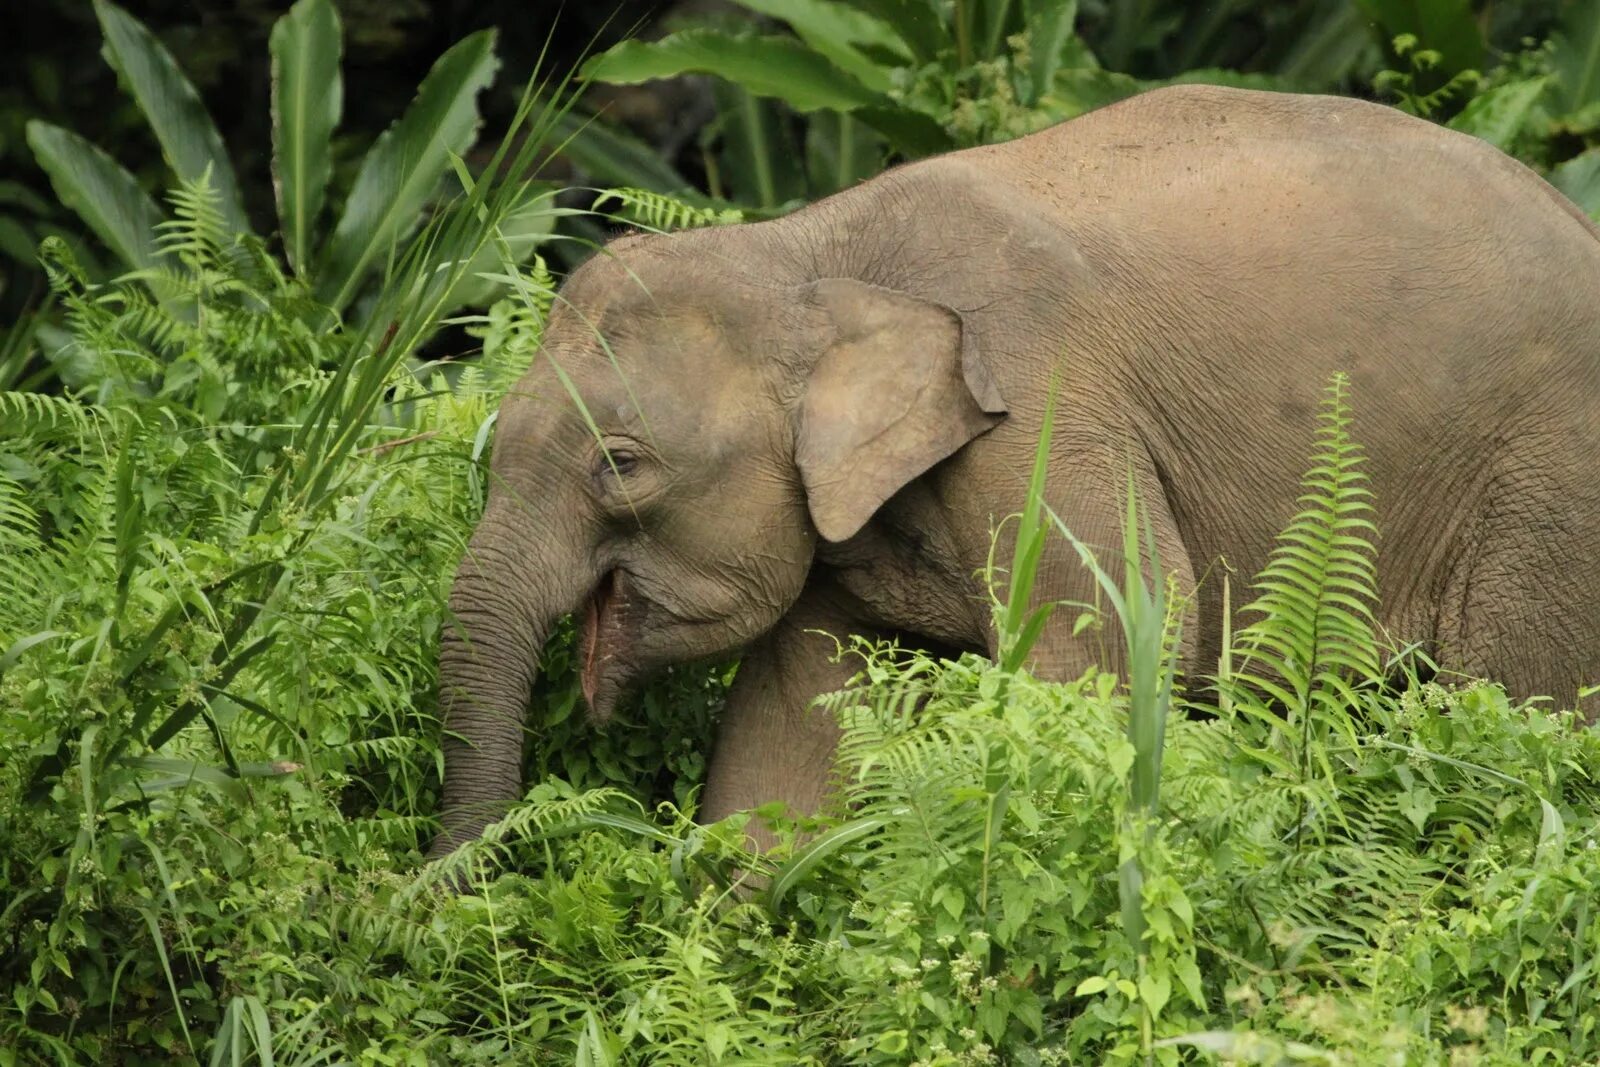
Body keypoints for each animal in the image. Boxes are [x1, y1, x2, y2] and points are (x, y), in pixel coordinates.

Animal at [425, 83, 1600, 857]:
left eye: (620, 464)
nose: (444, 894)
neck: (810, 247)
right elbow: (793, 724)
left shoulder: (1039, 412)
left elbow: (1118, 633)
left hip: (1550, 478)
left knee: (1522, 700)